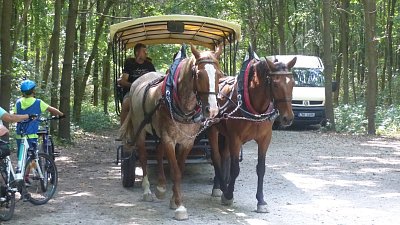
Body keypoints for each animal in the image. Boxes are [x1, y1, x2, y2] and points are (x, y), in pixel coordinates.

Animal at [120, 44, 223, 220]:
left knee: (158, 152)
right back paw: (147, 190)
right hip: (140, 129)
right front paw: (180, 206)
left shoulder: (186, 142)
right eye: (198, 74)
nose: (212, 110)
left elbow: (179, 168)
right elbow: (175, 171)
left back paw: (161, 187)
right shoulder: (169, 139)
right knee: (144, 157)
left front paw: (174, 199)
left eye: (219, 74)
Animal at [206, 52, 296, 213]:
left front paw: (261, 201)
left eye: (292, 83)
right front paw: (228, 195)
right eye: (275, 84)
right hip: (213, 129)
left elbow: (261, 169)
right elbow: (235, 169)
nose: (288, 118)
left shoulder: (265, 139)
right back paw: (221, 187)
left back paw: (219, 185)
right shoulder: (236, 139)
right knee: (216, 157)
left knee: (224, 156)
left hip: (226, 135)